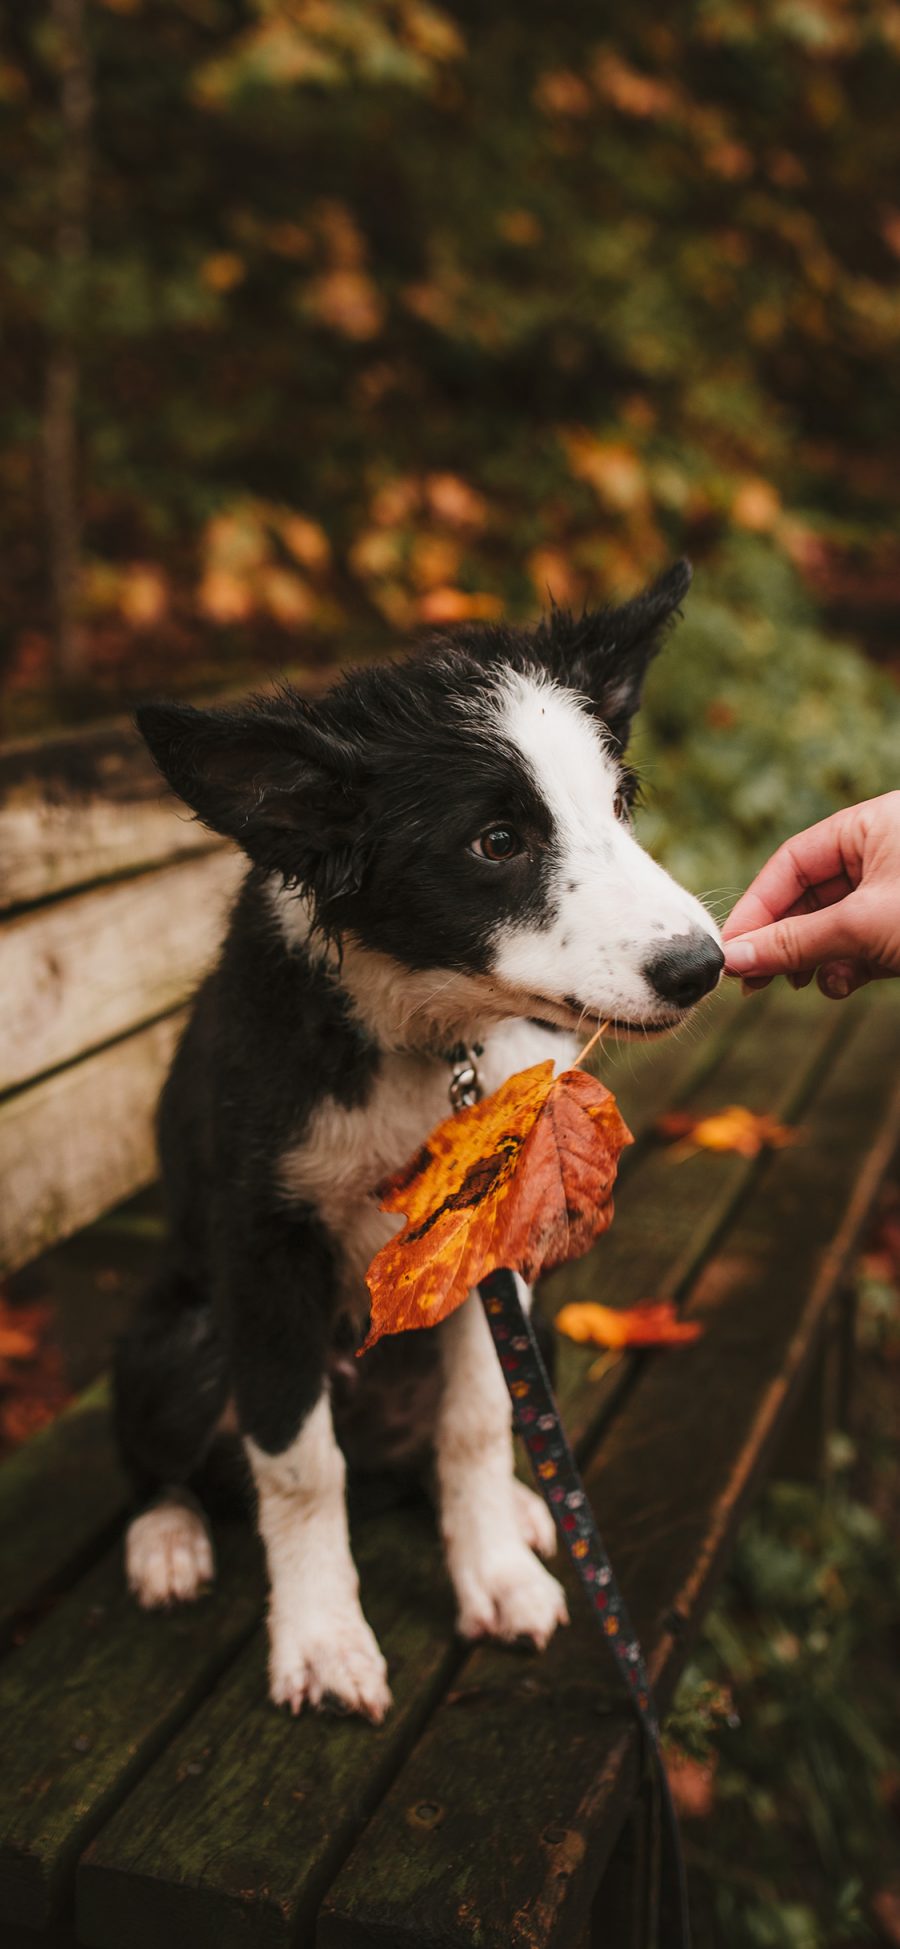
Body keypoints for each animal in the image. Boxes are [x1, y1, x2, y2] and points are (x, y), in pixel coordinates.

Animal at [117, 561, 724, 1722]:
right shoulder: (264, 1250)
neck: (427, 1041)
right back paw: (167, 1540)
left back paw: (526, 1515)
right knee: (162, 1457)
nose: (701, 967)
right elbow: (297, 1461)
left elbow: (480, 1418)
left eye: (619, 803)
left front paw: (493, 1574)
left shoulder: (495, 1242)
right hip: (178, 1335)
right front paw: (321, 1641)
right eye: (497, 842)